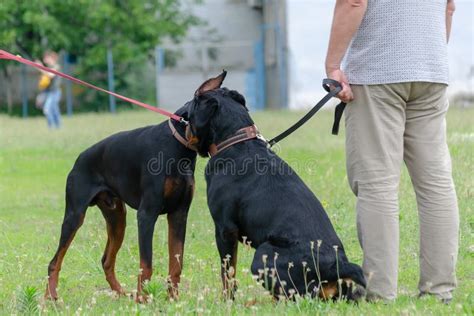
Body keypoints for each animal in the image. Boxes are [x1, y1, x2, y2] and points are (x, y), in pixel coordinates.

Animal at [45, 92, 209, 302]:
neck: (176, 146)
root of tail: (79, 159)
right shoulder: (147, 215)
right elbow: (146, 264)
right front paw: (143, 299)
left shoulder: (179, 214)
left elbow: (176, 263)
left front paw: (172, 299)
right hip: (75, 217)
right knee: (54, 261)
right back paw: (51, 297)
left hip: (117, 218)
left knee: (106, 260)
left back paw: (121, 293)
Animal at [187, 72, 364, 302]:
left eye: (191, 106)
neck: (236, 141)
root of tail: (336, 265)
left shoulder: (225, 229)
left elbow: (228, 272)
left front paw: (227, 302)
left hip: (263, 254)